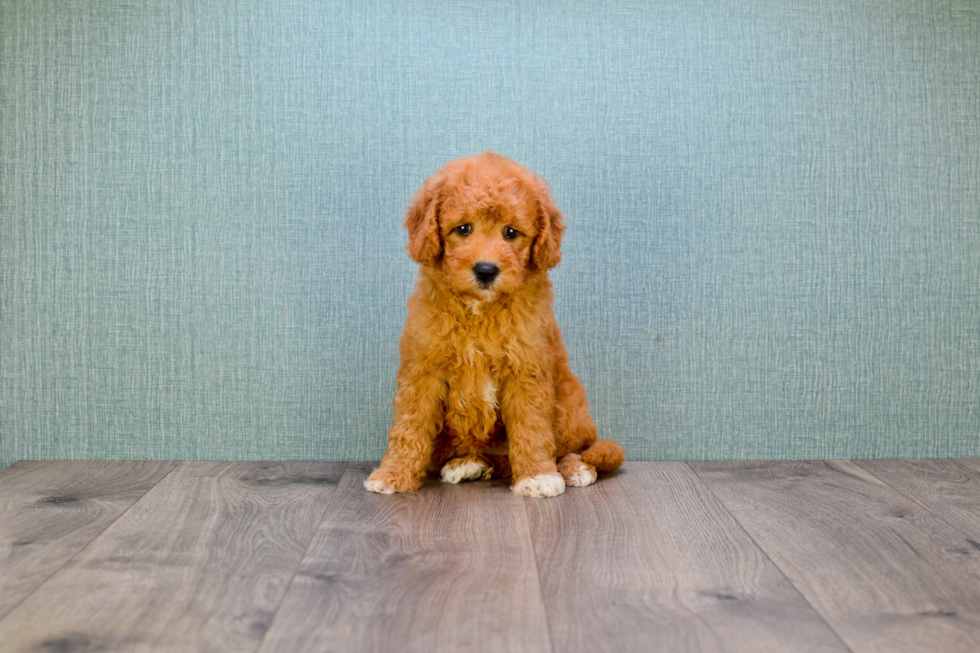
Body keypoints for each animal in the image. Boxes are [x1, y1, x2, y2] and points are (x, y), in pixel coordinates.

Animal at [364, 154, 624, 500]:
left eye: (511, 233)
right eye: (463, 228)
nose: (486, 270)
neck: (479, 310)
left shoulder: (526, 367)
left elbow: (531, 424)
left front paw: (538, 475)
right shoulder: (422, 369)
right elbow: (410, 423)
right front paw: (393, 473)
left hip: (570, 409)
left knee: (577, 449)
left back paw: (574, 469)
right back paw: (470, 464)